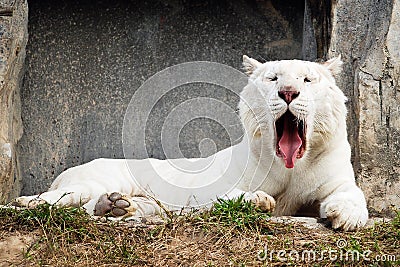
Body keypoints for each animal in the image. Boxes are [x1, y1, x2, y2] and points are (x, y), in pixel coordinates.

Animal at [14, 56, 368, 230]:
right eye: (274, 78)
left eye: (307, 79)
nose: (289, 92)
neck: (291, 166)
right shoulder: (212, 189)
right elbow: (233, 196)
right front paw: (258, 201)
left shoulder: (337, 179)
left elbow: (354, 196)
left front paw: (346, 216)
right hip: (92, 180)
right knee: (62, 197)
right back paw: (27, 202)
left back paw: (115, 207)